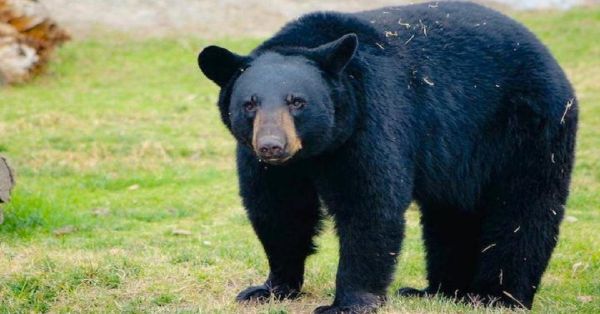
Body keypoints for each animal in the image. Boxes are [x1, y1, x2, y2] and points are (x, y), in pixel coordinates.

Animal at [198, 1, 576, 312]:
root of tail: (549, 56)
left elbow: (369, 204)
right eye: (250, 104)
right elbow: (279, 210)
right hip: (460, 156)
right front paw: (271, 287)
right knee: (452, 213)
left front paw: (347, 303)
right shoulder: (267, 165)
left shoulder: (371, 120)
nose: (272, 146)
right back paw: (439, 291)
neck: (316, 150)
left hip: (528, 128)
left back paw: (495, 296)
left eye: (297, 101)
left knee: (524, 209)